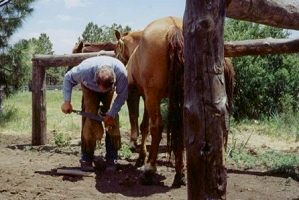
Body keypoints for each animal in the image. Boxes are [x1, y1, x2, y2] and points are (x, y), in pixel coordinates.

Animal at [116, 16, 236, 188]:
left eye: (116, 48)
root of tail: (174, 28)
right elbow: (145, 125)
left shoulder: (144, 94)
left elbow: (144, 125)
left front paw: (141, 157)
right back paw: (181, 173)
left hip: (154, 96)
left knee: (157, 127)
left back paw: (149, 171)